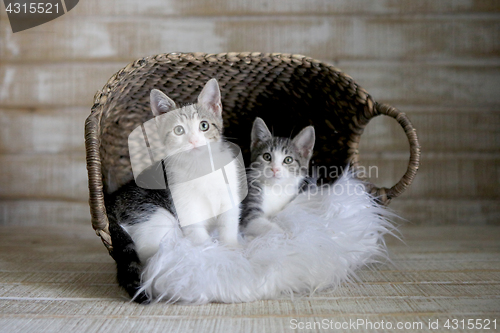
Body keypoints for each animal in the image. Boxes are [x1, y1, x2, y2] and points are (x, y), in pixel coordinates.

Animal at [106, 79, 245, 302]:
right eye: (178, 130)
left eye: (204, 125)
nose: (194, 141)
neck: (200, 166)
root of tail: (112, 200)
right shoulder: (185, 205)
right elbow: (197, 231)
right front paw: (212, 256)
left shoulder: (228, 193)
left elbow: (229, 222)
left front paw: (232, 247)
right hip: (154, 214)